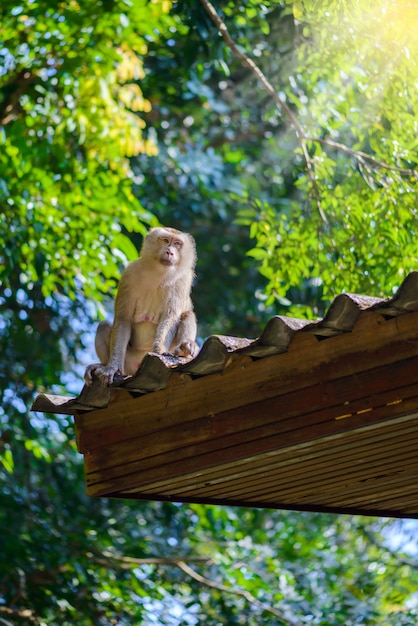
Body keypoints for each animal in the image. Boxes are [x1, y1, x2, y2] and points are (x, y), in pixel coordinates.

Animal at [85, 227, 199, 382]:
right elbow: (123, 318)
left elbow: (171, 317)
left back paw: (185, 349)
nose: (170, 252)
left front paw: (160, 351)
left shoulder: (182, 279)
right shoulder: (129, 273)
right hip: (129, 362)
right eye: (165, 240)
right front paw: (112, 367)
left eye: (177, 244)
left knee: (187, 314)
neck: (159, 272)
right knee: (104, 326)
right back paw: (102, 365)